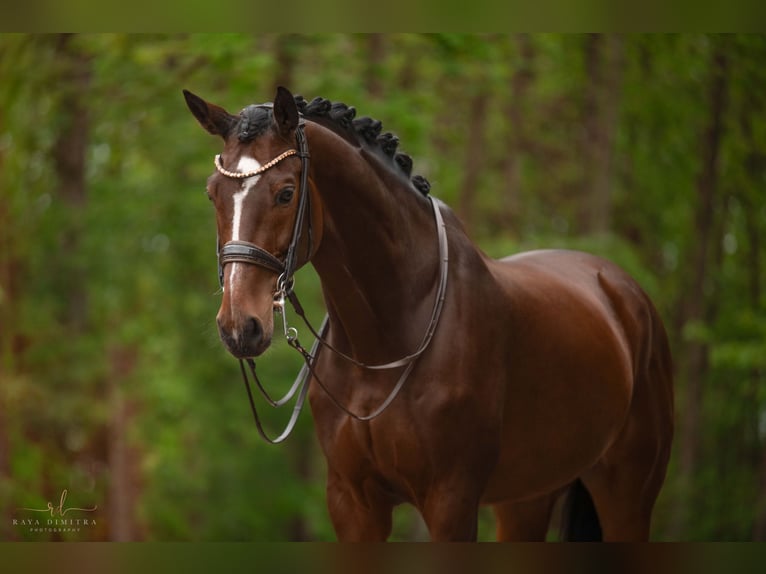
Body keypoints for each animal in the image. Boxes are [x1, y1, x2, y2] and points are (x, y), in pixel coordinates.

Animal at [183, 88, 676, 544]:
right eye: (212, 194)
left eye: (286, 193)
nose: (239, 327)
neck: (385, 344)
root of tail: (624, 293)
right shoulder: (353, 503)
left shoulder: (451, 501)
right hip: (527, 499)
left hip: (626, 495)